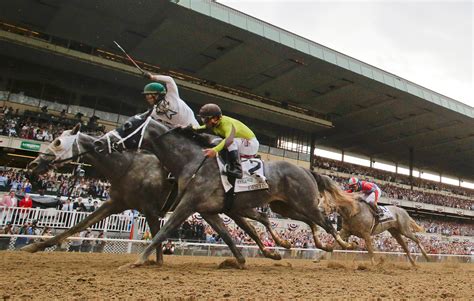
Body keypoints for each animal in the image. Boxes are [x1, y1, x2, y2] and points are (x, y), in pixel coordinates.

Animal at [25, 123, 292, 264]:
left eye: (57, 142)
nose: (33, 164)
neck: (126, 165)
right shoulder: (115, 203)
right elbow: (78, 226)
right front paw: (36, 246)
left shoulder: (151, 209)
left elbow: (158, 235)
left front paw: (154, 261)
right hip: (225, 207)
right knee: (247, 226)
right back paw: (267, 251)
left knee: (251, 226)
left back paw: (272, 249)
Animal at [94, 116, 358, 266]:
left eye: (129, 125)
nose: (98, 143)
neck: (192, 160)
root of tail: (307, 169)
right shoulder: (209, 210)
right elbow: (229, 234)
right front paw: (242, 260)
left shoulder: (188, 204)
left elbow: (164, 230)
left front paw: (137, 261)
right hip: (284, 206)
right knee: (308, 221)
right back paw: (313, 244)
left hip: (304, 202)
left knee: (325, 220)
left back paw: (342, 244)